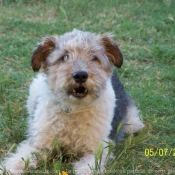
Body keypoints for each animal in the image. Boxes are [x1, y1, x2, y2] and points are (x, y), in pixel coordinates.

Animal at [0, 29, 144, 174]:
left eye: (94, 57)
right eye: (64, 57)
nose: (80, 75)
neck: (74, 110)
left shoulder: (97, 148)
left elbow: (88, 168)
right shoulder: (39, 143)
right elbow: (19, 159)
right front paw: (7, 169)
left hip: (131, 122)